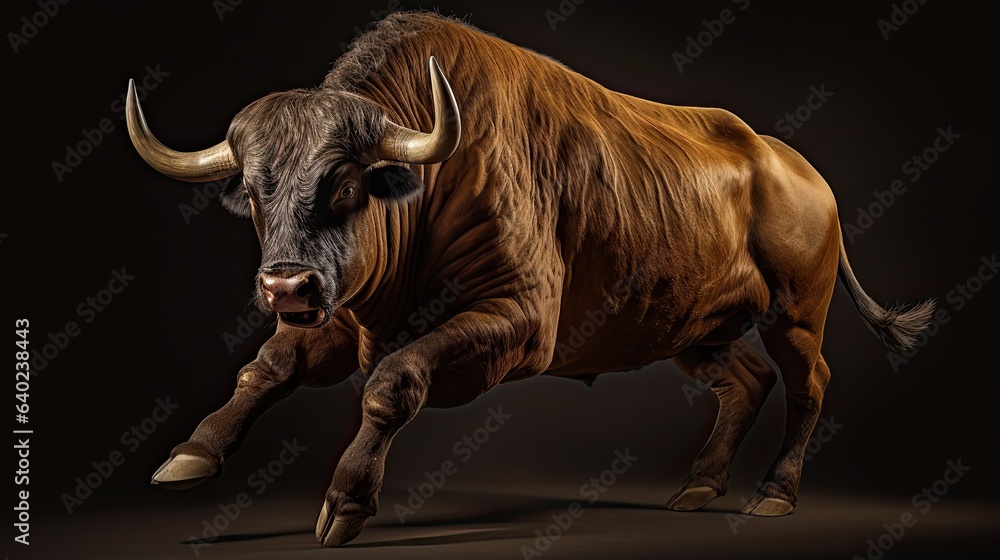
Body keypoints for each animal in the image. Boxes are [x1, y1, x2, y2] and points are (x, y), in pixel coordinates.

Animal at [126, 11, 933, 547]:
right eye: (254, 189)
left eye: (347, 186)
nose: (285, 288)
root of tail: (795, 167)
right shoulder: (338, 319)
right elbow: (264, 369)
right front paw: (191, 453)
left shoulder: (517, 324)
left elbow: (393, 382)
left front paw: (347, 500)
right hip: (692, 327)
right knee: (745, 382)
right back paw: (699, 485)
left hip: (796, 314)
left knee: (807, 383)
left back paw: (774, 493)